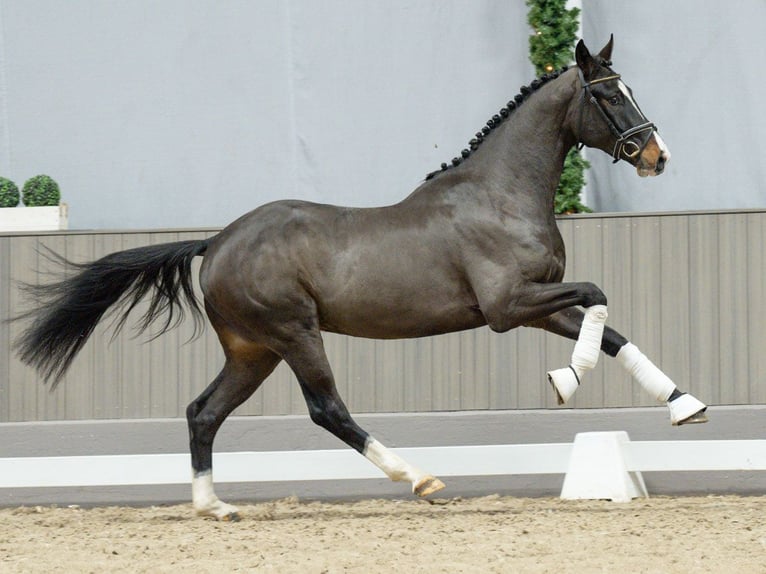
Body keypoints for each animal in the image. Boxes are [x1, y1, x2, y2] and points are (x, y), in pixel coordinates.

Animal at [13, 38, 708, 520]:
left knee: (203, 412)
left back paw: (215, 506)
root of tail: (218, 241)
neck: (499, 195)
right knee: (327, 409)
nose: (657, 156)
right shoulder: (508, 306)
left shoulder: (539, 303)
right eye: (607, 95)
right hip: (294, 334)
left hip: (253, 350)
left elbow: (610, 329)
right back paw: (419, 478)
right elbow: (598, 298)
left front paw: (685, 406)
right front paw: (567, 380)